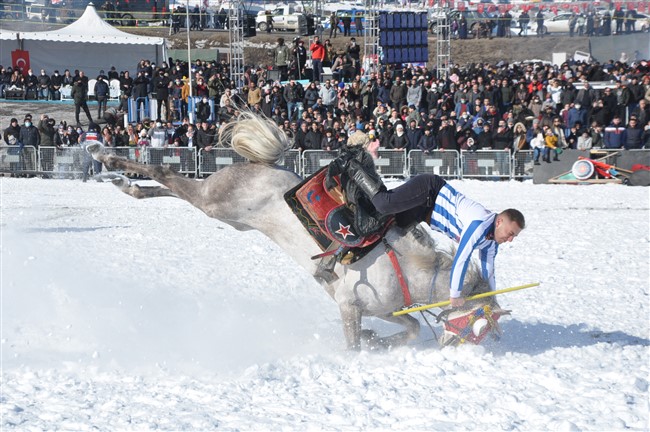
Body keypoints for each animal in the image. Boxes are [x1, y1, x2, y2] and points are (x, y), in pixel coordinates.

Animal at [87, 112, 503, 350]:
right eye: (480, 322)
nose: (455, 346)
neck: (408, 271)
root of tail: (265, 169)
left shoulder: (383, 310)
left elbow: (412, 327)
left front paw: (380, 341)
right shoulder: (348, 306)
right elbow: (355, 344)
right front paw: (367, 346)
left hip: (222, 212)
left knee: (169, 187)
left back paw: (126, 184)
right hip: (214, 199)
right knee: (166, 173)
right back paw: (104, 155)